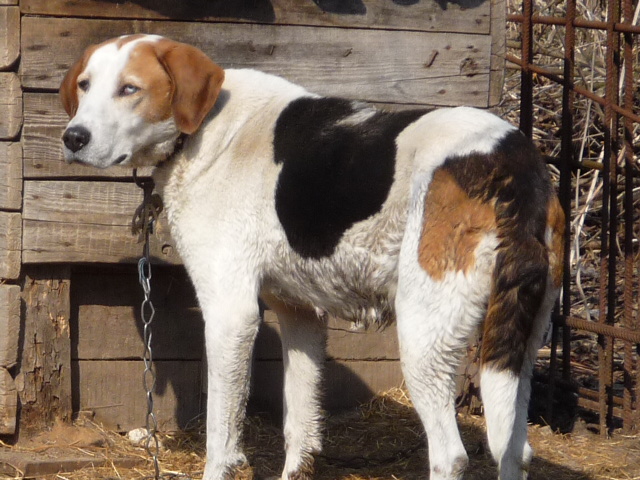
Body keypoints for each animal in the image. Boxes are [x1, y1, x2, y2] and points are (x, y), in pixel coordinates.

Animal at [60, 35, 564, 480]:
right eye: (84, 85)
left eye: (130, 89)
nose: (72, 138)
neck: (204, 128)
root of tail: (512, 161)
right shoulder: (300, 313)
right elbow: (299, 425)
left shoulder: (230, 314)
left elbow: (222, 434)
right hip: (520, 341)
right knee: (514, 449)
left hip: (425, 334)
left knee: (450, 456)